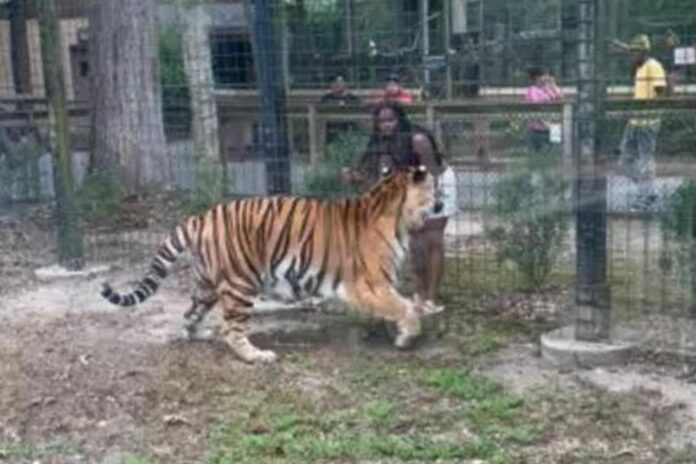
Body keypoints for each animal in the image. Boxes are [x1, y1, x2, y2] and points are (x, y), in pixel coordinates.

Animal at [99, 165, 436, 364]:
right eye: (433, 188)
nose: (442, 201)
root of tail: (201, 217)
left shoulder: (378, 286)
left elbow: (400, 305)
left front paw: (397, 331)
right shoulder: (368, 284)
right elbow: (404, 306)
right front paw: (408, 336)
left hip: (206, 286)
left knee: (190, 314)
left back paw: (200, 335)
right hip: (240, 284)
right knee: (231, 328)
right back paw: (257, 356)